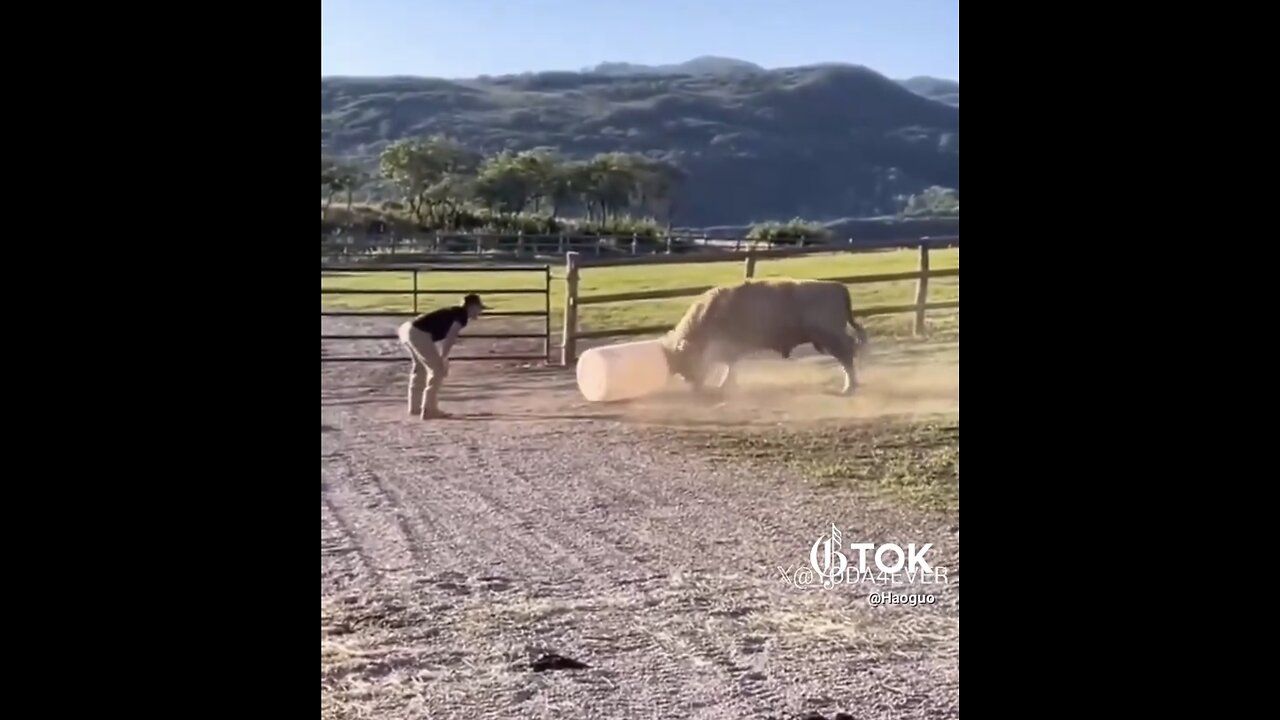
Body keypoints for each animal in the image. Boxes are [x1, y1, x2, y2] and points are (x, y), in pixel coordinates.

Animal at [660, 278, 870, 394]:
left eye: (684, 360)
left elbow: (729, 365)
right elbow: (730, 365)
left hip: (831, 336)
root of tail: (838, 287)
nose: (693, 386)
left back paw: (848, 387)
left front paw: (724, 384)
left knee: (846, 355)